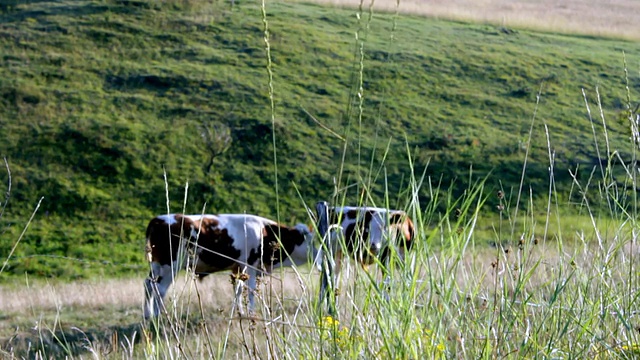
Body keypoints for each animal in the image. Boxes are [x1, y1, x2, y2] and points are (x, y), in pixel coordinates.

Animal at [144, 214, 316, 318]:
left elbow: (238, 290)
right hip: (170, 266)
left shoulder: (238, 268)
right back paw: (157, 318)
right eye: (310, 240)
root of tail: (158, 220)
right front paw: (251, 313)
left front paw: (239, 312)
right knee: (159, 289)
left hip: (156, 265)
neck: (264, 232)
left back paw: (147, 316)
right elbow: (251, 291)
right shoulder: (250, 265)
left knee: (148, 285)